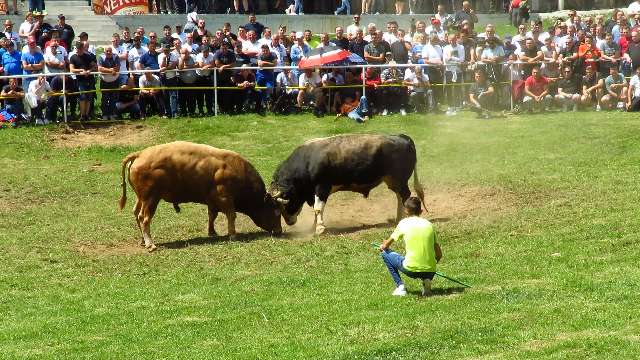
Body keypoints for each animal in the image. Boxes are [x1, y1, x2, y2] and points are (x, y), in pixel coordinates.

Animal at [118, 141, 282, 250]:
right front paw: (233, 234)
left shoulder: (212, 201)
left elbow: (212, 216)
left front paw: (212, 232)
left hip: (141, 198)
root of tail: (140, 154)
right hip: (151, 199)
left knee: (135, 213)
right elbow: (231, 215)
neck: (236, 169)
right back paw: (150, 244)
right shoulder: (225, 199)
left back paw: (142, 240)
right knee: (144, 218)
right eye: (277, 212)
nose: (279, 231)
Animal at [268, 134, 424, 235]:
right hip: (393, 181)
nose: (289, 222)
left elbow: (318, 208)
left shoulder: (322, 187)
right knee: (399, 196)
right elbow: (316, 210)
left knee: (405, 196)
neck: (307, 161)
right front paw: (314, 226)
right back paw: (398, 218)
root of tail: (403, 138)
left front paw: (320, 228)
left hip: (400, 180)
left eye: (283, 205)